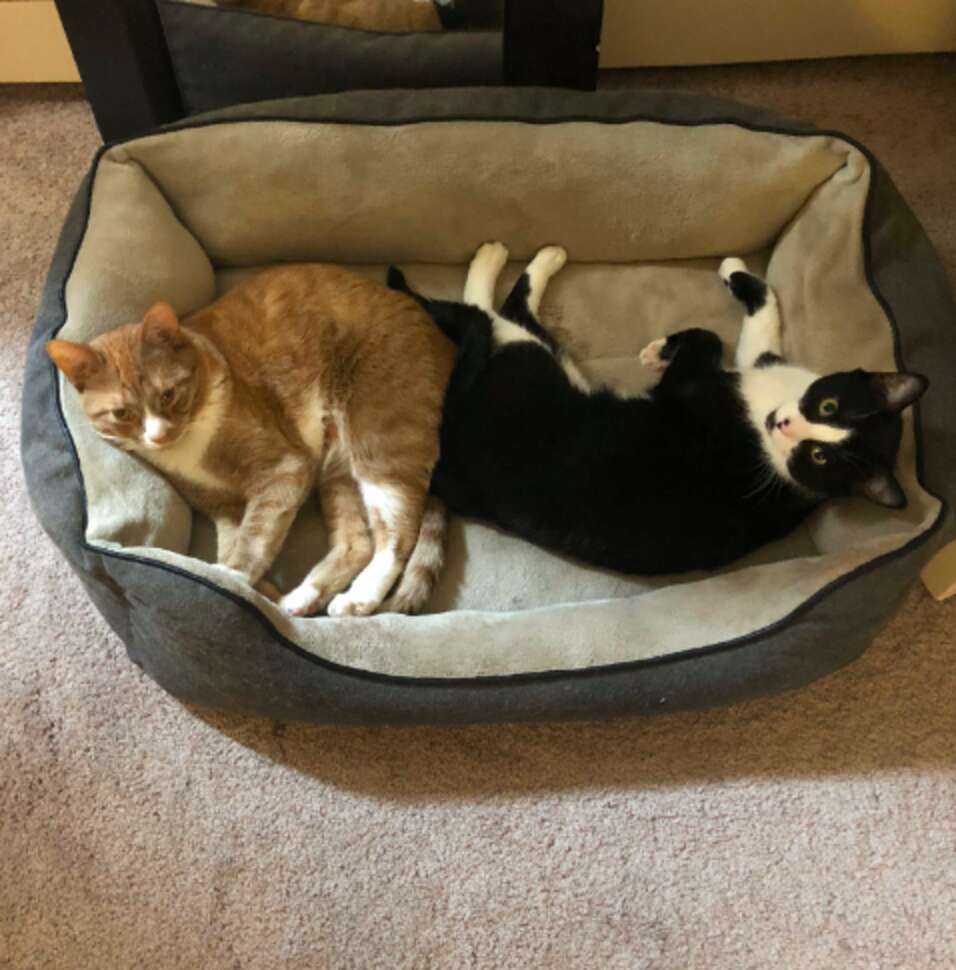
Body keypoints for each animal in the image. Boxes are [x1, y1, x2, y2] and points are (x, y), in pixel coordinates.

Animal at [46, 260, 458, 616]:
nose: (159, 436)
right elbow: (234, 541)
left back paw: (358, 599)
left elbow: (255, 536)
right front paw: (255, 589)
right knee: (358, 543)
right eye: (122, 414)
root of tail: (440, 335)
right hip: (336, 473)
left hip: (379, 442)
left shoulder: (284, 469)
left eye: (168, 395)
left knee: (397, 536)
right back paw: (300, 599)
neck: (191, 450)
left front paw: (231, 579)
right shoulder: (222, 507)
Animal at [386, 244, 928, 576]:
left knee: (494, 313)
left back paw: (502, 256)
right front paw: (732, 273)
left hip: (525, 361)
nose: (784, 422)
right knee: (500, 314)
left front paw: (660, 350)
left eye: (819, 458)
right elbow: (762, 307)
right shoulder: (760, 365)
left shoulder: (697, 384)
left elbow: (711, 337)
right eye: (830, 405)